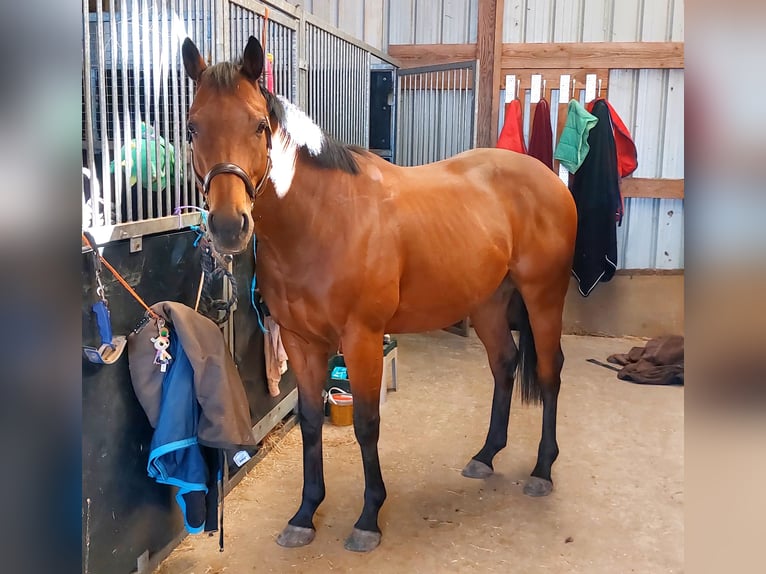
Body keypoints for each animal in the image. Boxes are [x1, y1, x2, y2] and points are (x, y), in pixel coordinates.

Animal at [180, 38, 576, 556]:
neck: (324, 220)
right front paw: (304, 515)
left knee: (549, 373)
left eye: (260, 126)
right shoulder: (302, 341)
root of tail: (548, 178)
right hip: (488, 302)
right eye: (193, 126)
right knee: (504, 364)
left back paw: (542, 470)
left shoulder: (362, 338)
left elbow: (367, 424)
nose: (229, 227)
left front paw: (368, 518)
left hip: (543, 297)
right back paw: (486, 455)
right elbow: (310, 421)